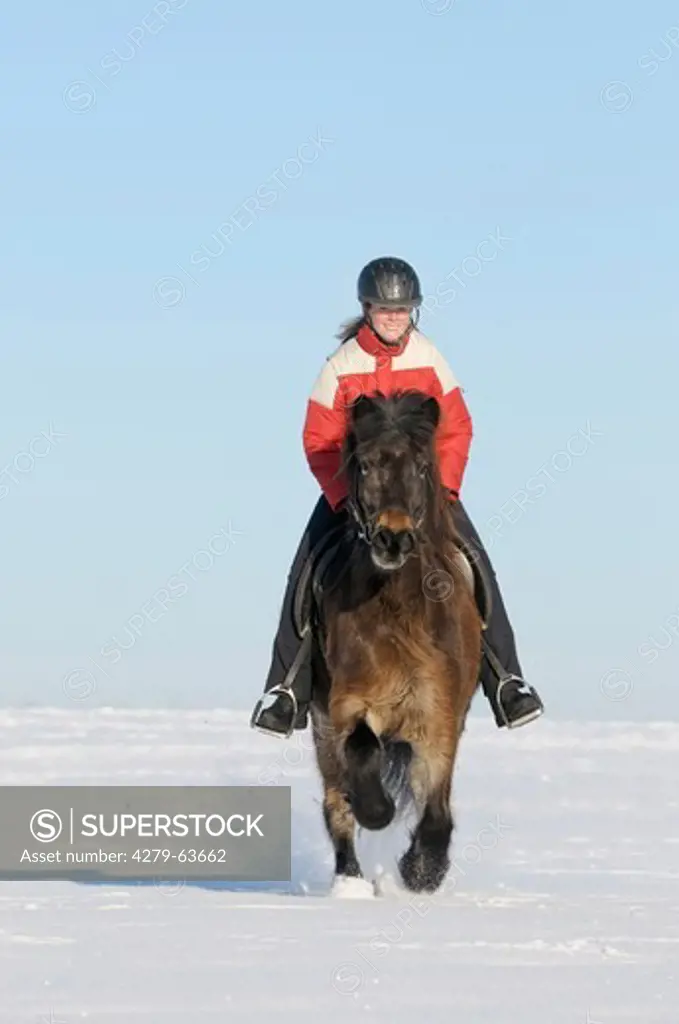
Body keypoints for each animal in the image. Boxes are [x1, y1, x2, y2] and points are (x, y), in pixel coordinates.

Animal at [307, 391, 483, 897]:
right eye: (365, 464)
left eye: (422, 466)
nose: (393, 538)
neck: (398, 608)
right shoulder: (345, 704)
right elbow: (363, 752)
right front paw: (377, 810)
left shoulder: (440, 716)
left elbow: (438, 810)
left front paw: (422, 870)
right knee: (335, 807)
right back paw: (349, 882)